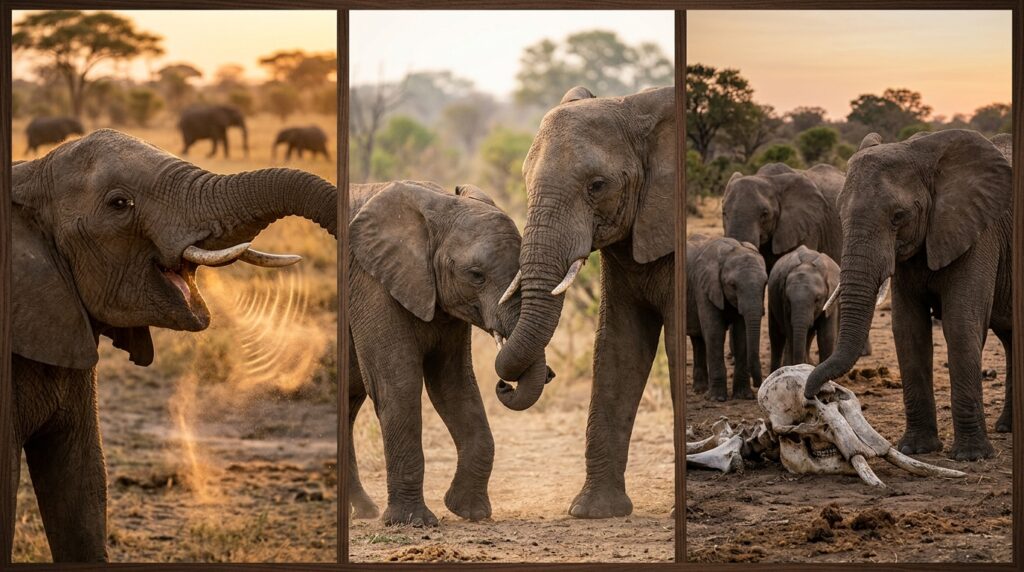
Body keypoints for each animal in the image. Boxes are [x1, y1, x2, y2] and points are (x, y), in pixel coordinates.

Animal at [347, 180, 552, 526]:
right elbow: (399, 384)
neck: (435, 201)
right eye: (476, 275)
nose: (504, 385)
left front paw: (469, 511)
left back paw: (361, 511)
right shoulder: (371, 285)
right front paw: (412, 522)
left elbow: (456, 385)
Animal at [494, 85, 675, 518]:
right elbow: (619, 346)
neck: (637, 105)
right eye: (524, 180)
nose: (505, 386)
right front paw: (593, 512)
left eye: (597, 185)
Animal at [686, 234, 767, 401]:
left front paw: (743, 396)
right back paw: (702, 392)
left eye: (765, 283)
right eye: (733, 285)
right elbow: (714, 332)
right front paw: (717, 399)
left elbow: (741, 334)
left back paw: (700, 390)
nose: (758, 384)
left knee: (698, 338)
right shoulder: (703, 286)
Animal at [806, 129, 1012, 461]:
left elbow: (960, 324)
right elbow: (907, 329)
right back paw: (1007, 427)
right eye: (839, 213)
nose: (815, 396)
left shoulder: (980, 233)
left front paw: (971, 456)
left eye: (898, 216)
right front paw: (916, 448)